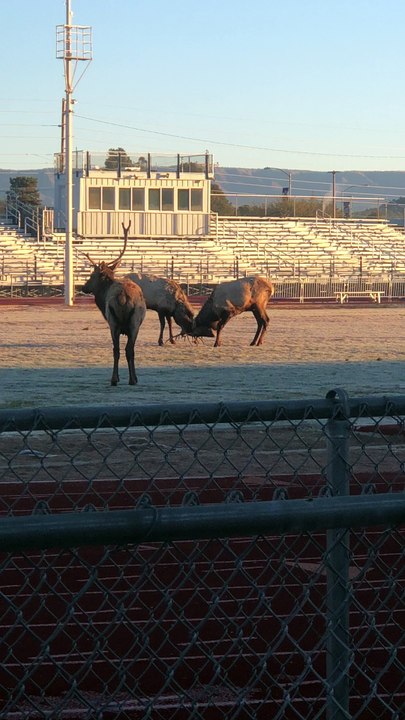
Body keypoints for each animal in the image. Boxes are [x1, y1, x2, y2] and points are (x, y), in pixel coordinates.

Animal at [82, 222, 146, 385]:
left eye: (91, 275)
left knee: (119, 350)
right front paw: (134, 377)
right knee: (126, 350)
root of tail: (122, 296)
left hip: (116, 322)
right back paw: (128, 379)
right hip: (129, 322)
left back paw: (118, 379)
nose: (83, 287)